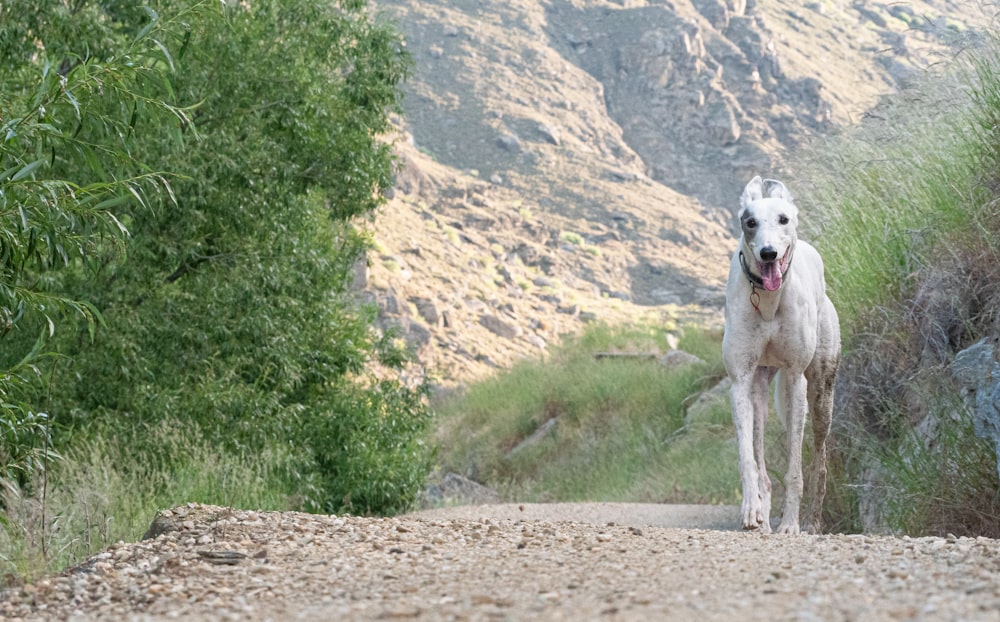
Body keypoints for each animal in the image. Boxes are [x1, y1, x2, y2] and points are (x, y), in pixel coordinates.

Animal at [724, 177, 840, 536]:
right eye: (750, 222)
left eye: (783, 219)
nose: (768, 253)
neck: (768, 300)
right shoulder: (740, 381)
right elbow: (746, 457)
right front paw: (751, 510)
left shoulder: (795, 376)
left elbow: (794, 469)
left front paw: (790, 524)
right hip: (761, 392)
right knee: (762, 459)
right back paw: (763, 515)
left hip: (819, 395)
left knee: (819, 461)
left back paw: (812, 521)